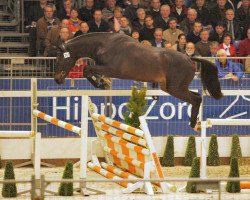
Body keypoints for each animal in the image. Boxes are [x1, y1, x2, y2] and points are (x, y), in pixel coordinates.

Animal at [53, 32, 223, 130]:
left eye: (61, 58)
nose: (57, 79)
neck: (104, 44)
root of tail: (190, 59)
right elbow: (88, 71)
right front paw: (102, 83)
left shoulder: (111, 69)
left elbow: (87, 70)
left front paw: (102, 83)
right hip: (171, 87)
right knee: (196, 95)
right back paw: (195, 124)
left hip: (175, 88)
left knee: (196, 98)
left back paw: (193, 125)